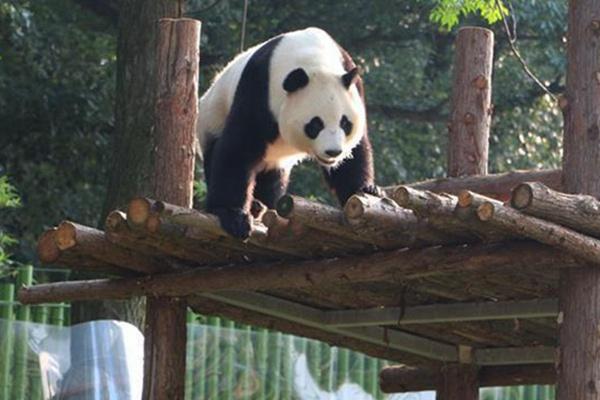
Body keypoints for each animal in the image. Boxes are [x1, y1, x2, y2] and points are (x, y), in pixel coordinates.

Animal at [202, 28, 380, 239]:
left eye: (345, 123)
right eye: (315, 124)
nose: (333, 152)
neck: (313, 59)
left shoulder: (354, 89)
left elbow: (355, 153)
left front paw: (366, 189)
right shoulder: (259, 90)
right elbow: (238, 149)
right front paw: (234, 217)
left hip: (276, 160)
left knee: (273, 178)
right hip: (213, 117)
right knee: (215, 153)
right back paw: (252, 206)